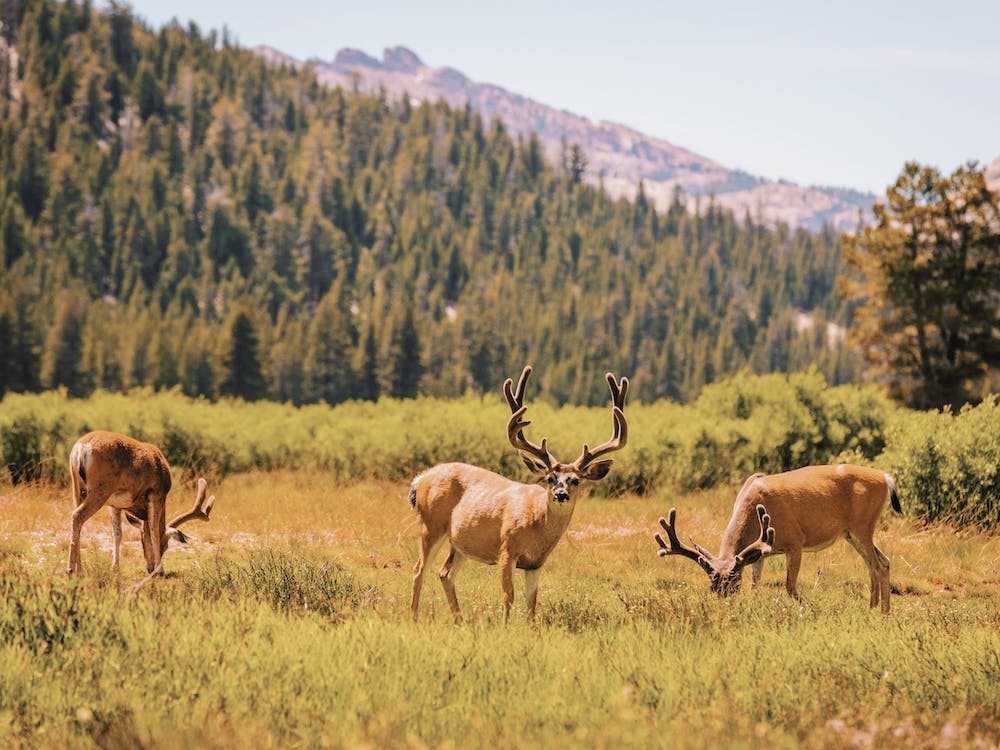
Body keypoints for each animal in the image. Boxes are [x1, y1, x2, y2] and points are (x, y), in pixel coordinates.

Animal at [68, 430, 216, 591]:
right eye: (166, 546)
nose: (150, 568)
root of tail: (82, 447)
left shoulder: (115, 505)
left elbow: (117, 533)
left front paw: (115, 568)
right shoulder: (157, 493)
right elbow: (154, 532)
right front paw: (160, 570)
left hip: (78, 489)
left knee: (78, 520)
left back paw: (79, 570)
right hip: (100, 489)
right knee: (77, 516)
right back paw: (73, 570)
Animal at [408, 366, 628, 623]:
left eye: (575, 480)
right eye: (549, 478)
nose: (560, 494)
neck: (537, 526)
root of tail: (421, 479)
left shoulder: (535, 564)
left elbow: (532, 603)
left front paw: (530, 627)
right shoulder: (506, 549)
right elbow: (508, 596)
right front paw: (505, 627)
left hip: (460, 542)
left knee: (445, 573)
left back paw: (459, 621)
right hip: (430, 525)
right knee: (419, 569)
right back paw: (413, 617)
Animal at [654, 464, 901, 613]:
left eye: (734, 583)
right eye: (712, 587)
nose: (724, 609)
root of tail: (886, 478)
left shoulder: (795, 541)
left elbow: (789, 585)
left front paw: (813, 608)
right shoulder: (762, 552)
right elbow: (756, 583)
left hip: (862, 526)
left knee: (877, 565)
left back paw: (878, 611)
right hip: (851, 533)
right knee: (882, 562)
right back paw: (878, 610)